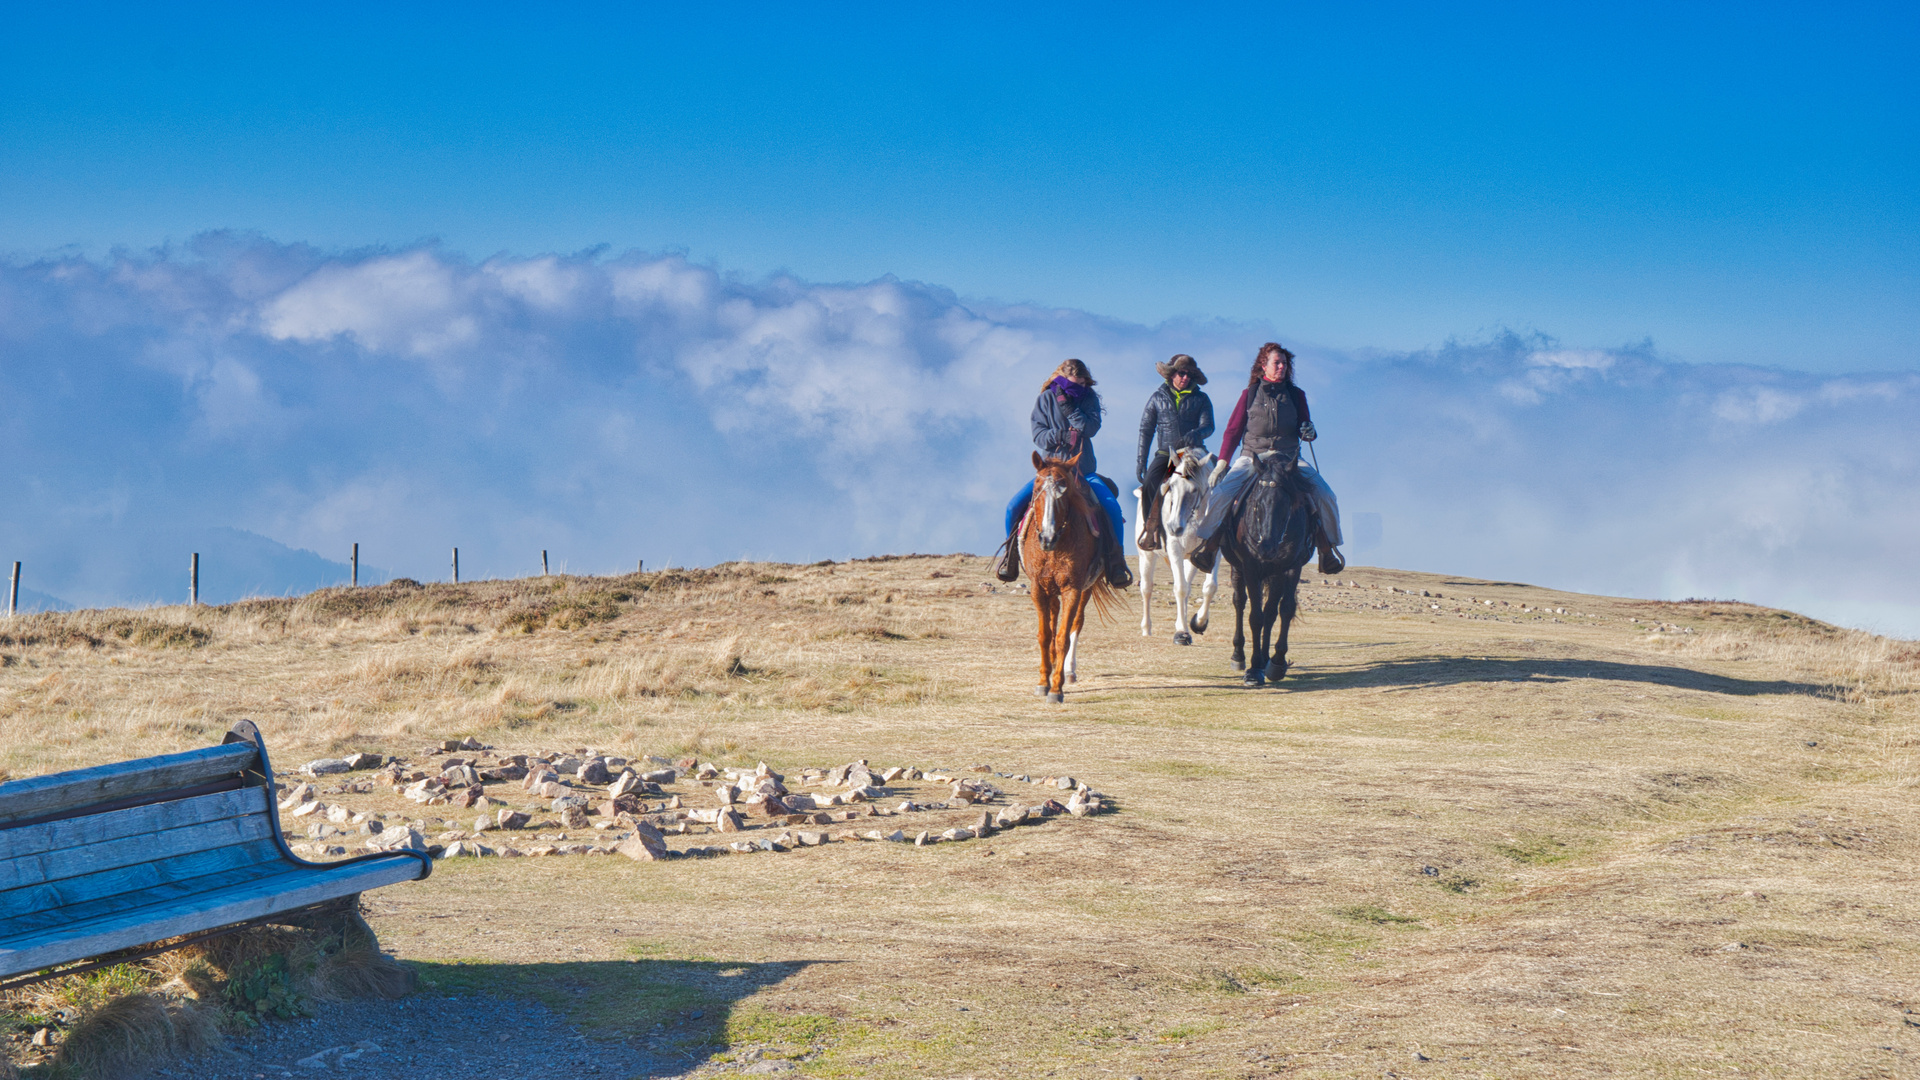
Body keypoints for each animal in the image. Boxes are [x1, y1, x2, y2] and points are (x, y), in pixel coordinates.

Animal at [1021, 449, 1121, 703]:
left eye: (1064, 492)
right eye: (1036, 489)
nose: (1047, 537)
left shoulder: (1072, 589)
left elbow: (1062, 637)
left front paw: (1056, 688)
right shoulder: (1037, 588)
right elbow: (1045, 635)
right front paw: (1042, 682)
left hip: (1086, 588)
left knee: (1076, 622)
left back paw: (1068, 670)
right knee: (1053, 616)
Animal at [1128, 443, 1221, 641]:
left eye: (1195, 490)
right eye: (1170, 486)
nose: (1173, 527)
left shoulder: (1213, 551)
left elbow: (1209, 587)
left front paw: (1198, 623)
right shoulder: (1175, 548)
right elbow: (1180, 589)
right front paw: (1182, 633)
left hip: (1189, 558)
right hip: (1146, 555)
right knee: (1147, 589)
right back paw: (1146, 629)